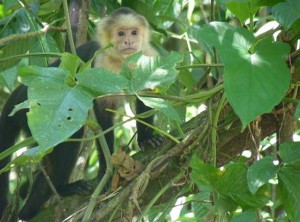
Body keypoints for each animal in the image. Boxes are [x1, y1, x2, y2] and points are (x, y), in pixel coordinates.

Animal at [0, 6, 159, 220]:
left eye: (134, 32)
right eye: (121, 33)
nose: (128, 42)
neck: (123, 61)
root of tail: (18, 93)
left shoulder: (148, 57)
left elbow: (146, 98)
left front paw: (146, 139)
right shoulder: (100, 64)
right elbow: (102, 114)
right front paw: (106, 170)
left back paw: (29, 210)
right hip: (33, 113)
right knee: (70, 135)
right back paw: (61, 188)